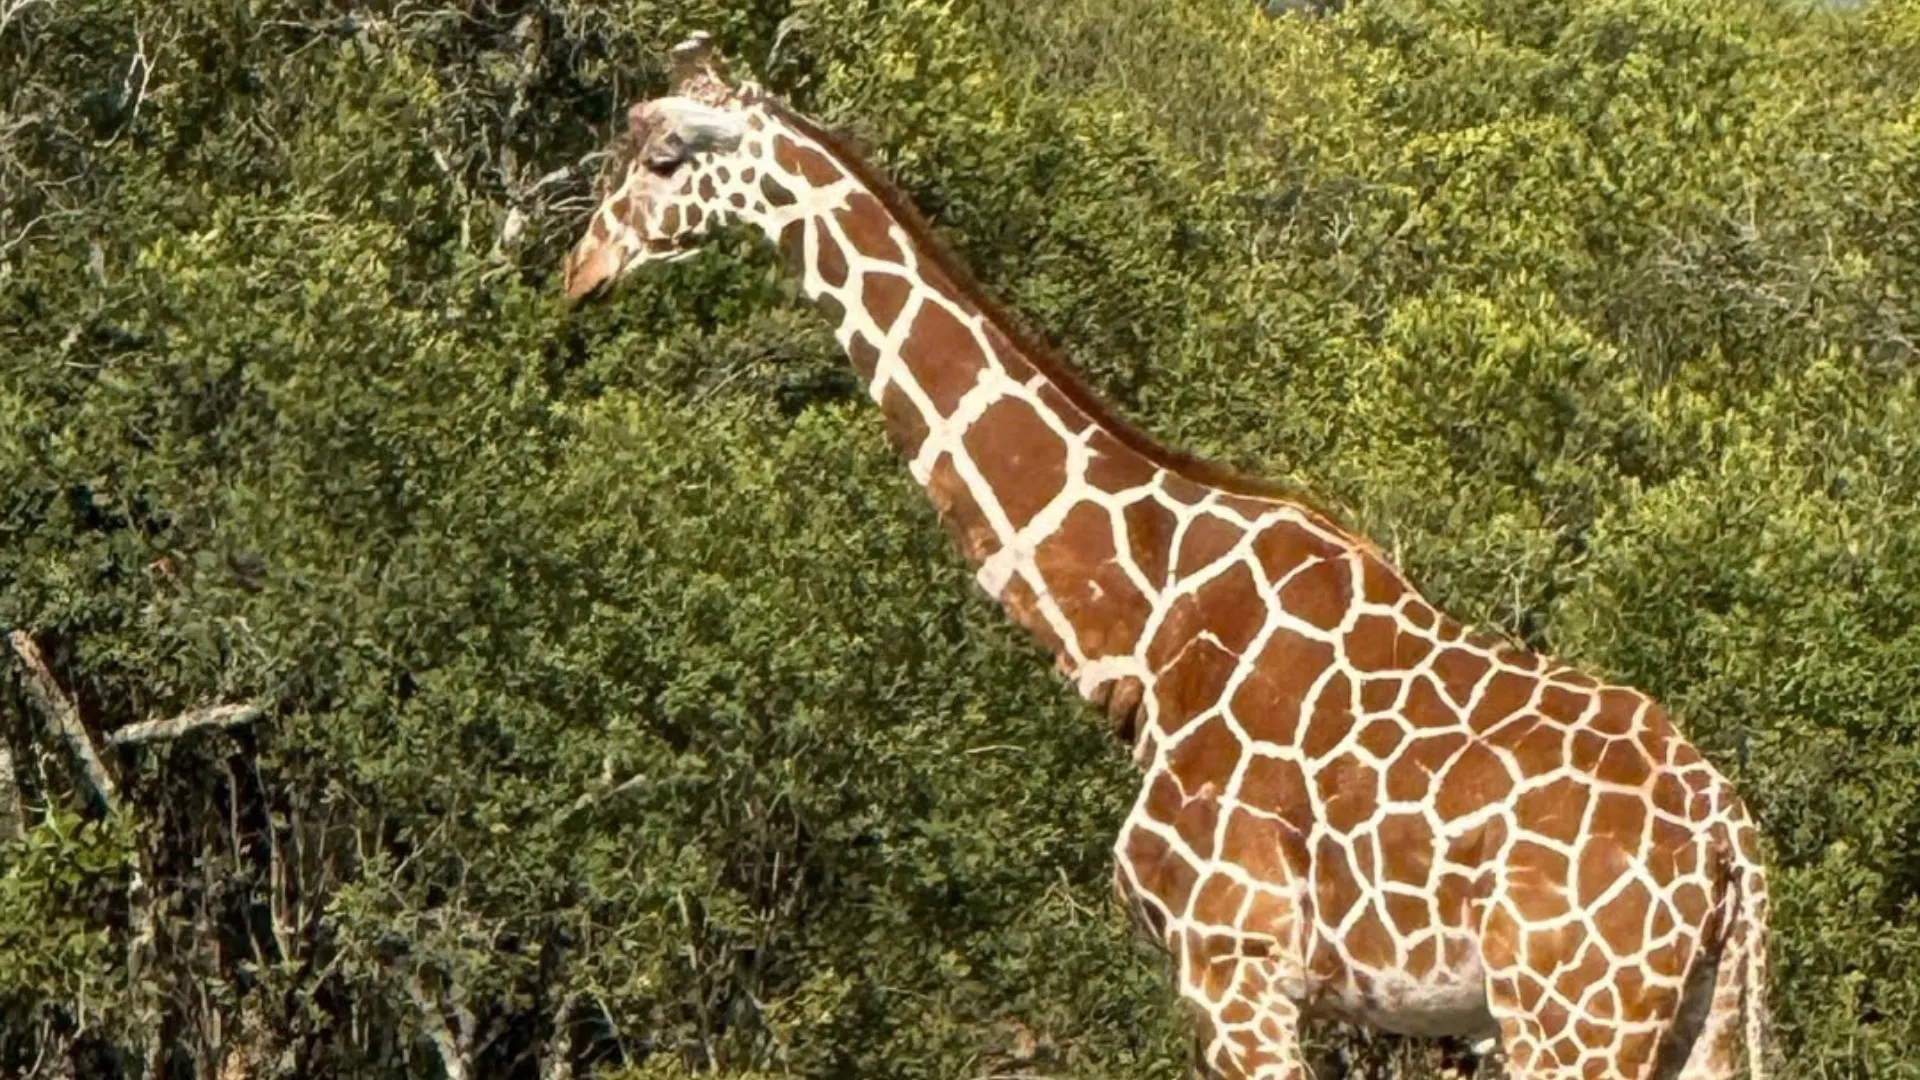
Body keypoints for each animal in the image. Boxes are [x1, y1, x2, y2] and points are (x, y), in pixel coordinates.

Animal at [561, 33, 1774, 1080]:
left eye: (663, 155)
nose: (581, 271)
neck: (1141, 629)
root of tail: (1730, 842)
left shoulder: (1233, 965)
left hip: (1568, 1016)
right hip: (1693, 1019)